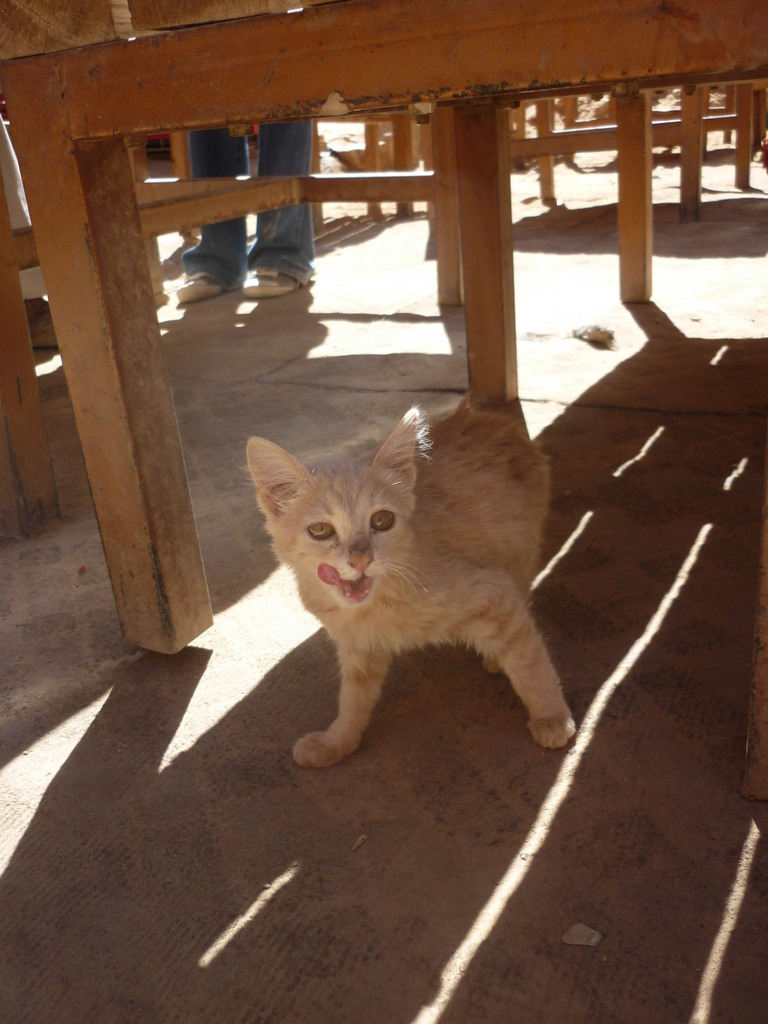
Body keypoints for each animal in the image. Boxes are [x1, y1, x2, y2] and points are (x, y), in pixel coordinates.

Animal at [246, 400, 575, 768]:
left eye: (382, 520)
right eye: (320, 530)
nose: (361, 559)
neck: (378, 606)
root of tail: (487, 417)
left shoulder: (495, 590)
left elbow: (531, 664)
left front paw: (552, 717)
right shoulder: (359, 646)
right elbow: (353, 699)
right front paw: (337, 743)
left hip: (519, 550)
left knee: (524, 599)